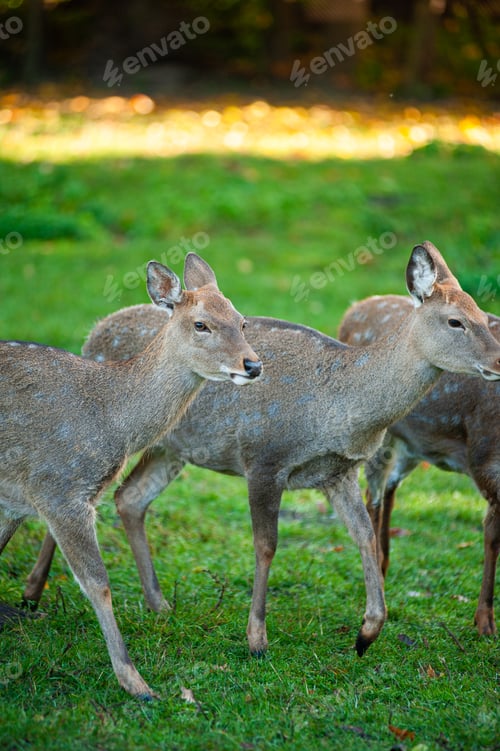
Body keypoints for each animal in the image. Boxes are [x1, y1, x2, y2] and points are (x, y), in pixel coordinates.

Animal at [0, 253, 262, 700]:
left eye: (241, 320)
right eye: (201, 324)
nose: (253, 365)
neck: (111, 418)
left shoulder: (18, 499)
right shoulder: (57, 489)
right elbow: (97, 582)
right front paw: (135, 681)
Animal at [338, 293, 500, 636]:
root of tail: (354, 308)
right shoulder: (486, 456)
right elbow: (492, 536)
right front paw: (485, 621)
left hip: (413, 446)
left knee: (390, 489)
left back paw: (385, 566)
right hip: (377, 433)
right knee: (373, 495)